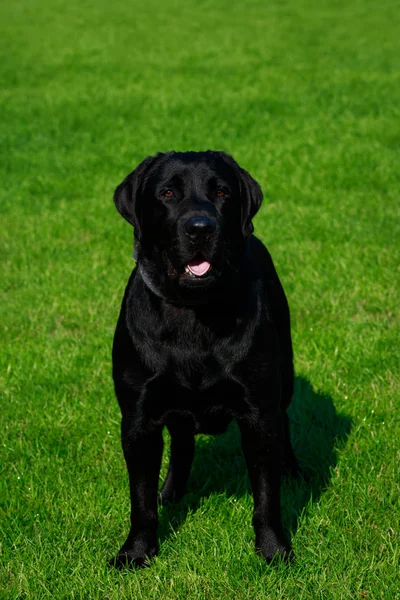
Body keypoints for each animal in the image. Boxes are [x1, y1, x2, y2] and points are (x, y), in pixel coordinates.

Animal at [110, 150, 296, 568]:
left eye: (222, 192)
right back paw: (171, 493)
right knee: (182, 444)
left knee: (286, 422)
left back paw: (296, 472)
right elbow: (140, 500)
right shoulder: (138, 419)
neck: (193, 313)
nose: (200, 228)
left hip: (286, 375)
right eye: (167, 193)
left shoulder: (259, 415)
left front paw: (274, 550)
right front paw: (136, 552)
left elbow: (267, 496)